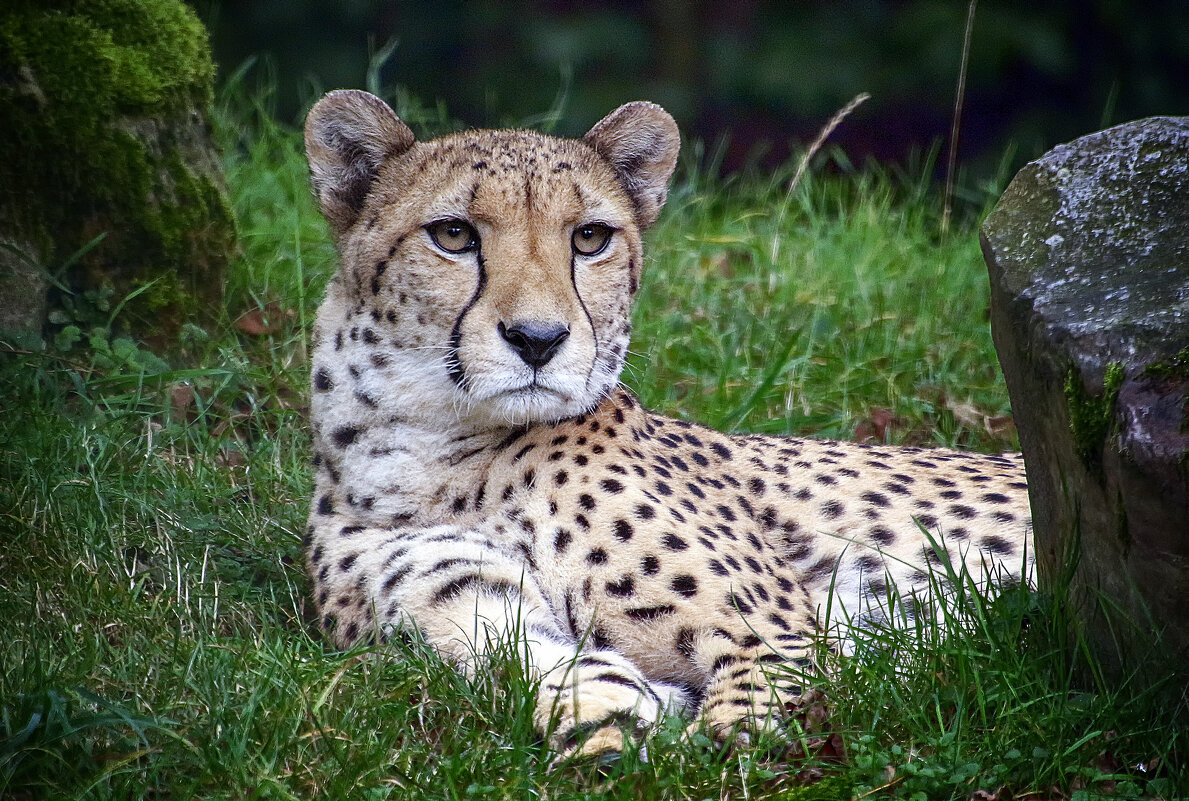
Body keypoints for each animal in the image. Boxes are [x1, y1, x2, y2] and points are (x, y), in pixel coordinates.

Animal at [304, 90, 1032, 755]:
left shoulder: (785, 638)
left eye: (589, 238)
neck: (432, 451)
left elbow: (743, 730)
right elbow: (573, 678)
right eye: (453, 235)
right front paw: (609, 734)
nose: (538, 339)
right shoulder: (472, 606)